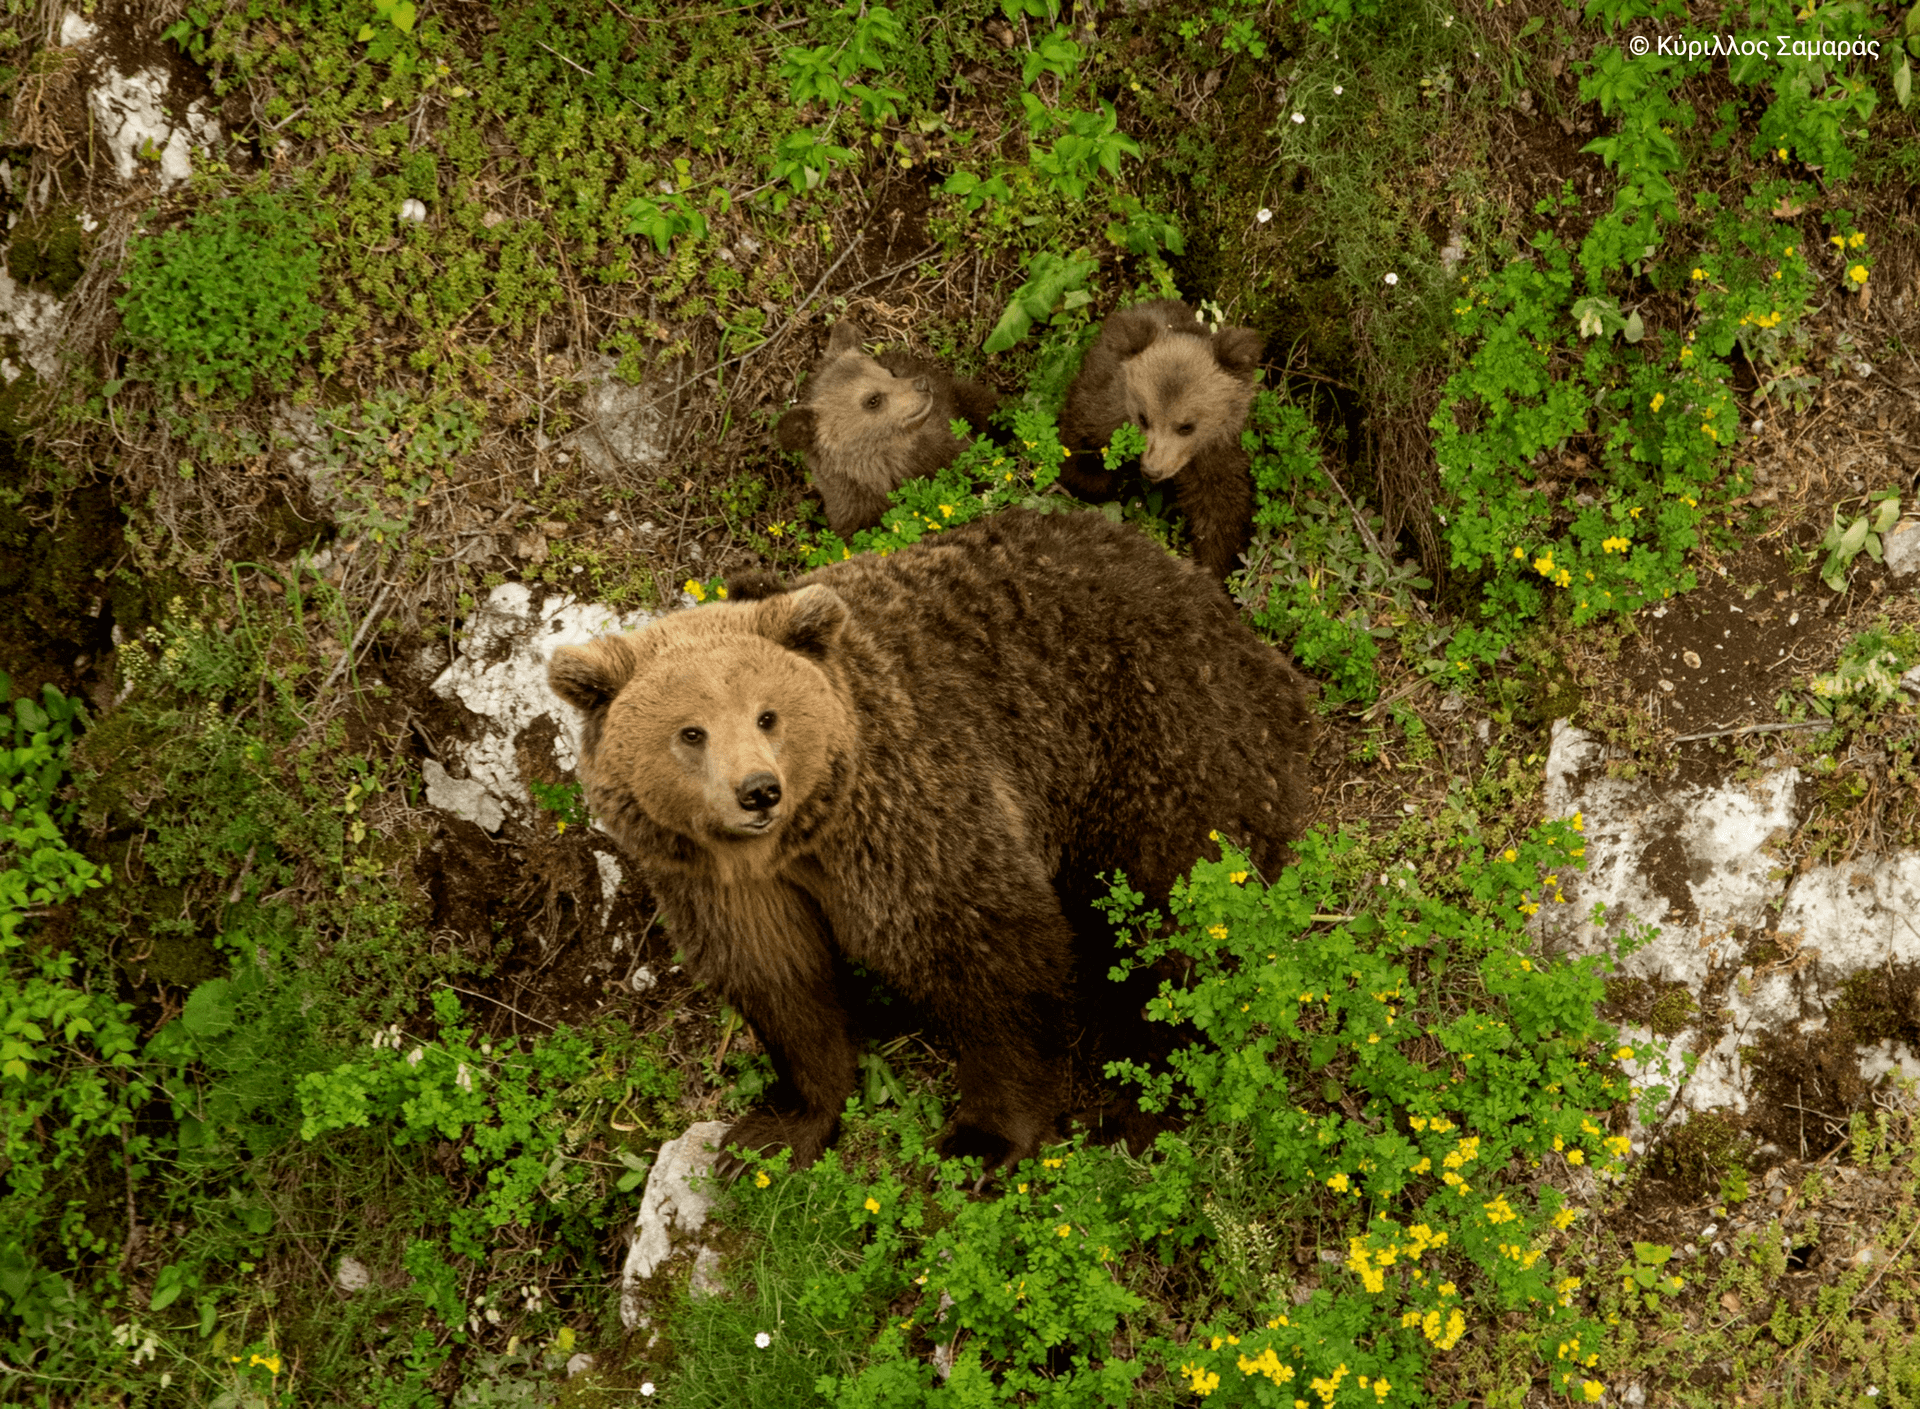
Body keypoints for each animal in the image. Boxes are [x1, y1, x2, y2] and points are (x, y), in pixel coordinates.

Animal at [549, 506, 1313, 1182]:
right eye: (692, 731)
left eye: (767, 714)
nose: (758, 791)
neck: (802, 840)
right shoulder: (722, 879)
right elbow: (781, 981)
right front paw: (772, 1130)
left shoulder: (910, 806)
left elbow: (987, 947)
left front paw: (983, 1139)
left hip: (1156, 740)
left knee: (1166, 923)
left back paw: (1143, 1105)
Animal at [1059, 297, 1267, 583]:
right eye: (1143, 417)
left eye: (1187, 426)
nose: (1152, 470)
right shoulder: (1104, 408)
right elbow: (1081, 452)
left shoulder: (1215, 452)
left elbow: (1221, 510)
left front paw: (1216, 564)